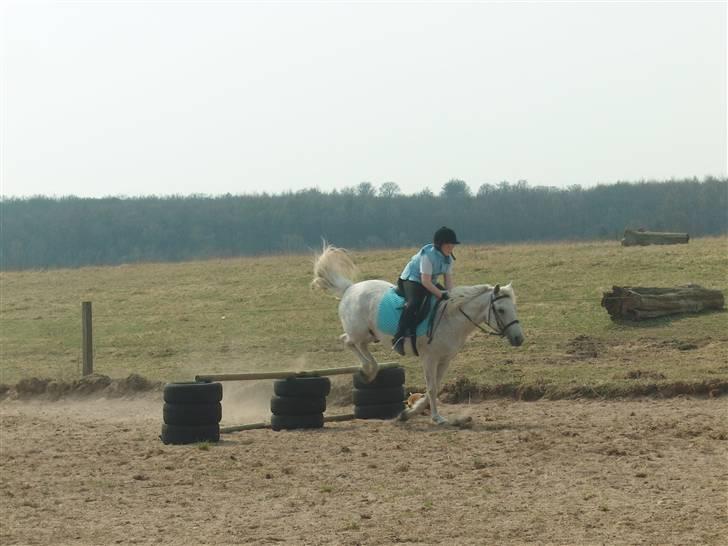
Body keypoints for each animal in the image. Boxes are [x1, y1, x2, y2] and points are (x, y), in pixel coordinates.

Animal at [312, 243, 524, 424]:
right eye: (501, 310)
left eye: (513, 308)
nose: (519, 339)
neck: (451, 319)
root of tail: (350, 288)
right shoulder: (429, 358)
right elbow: (431, 387)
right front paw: (436, 418)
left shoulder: (445, 359)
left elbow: (435, 387)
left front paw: (408, 413)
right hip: (359, 331)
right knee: (347, 341)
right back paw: (368, 369)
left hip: (372, 335)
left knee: (359, 345)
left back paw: (371, 369)